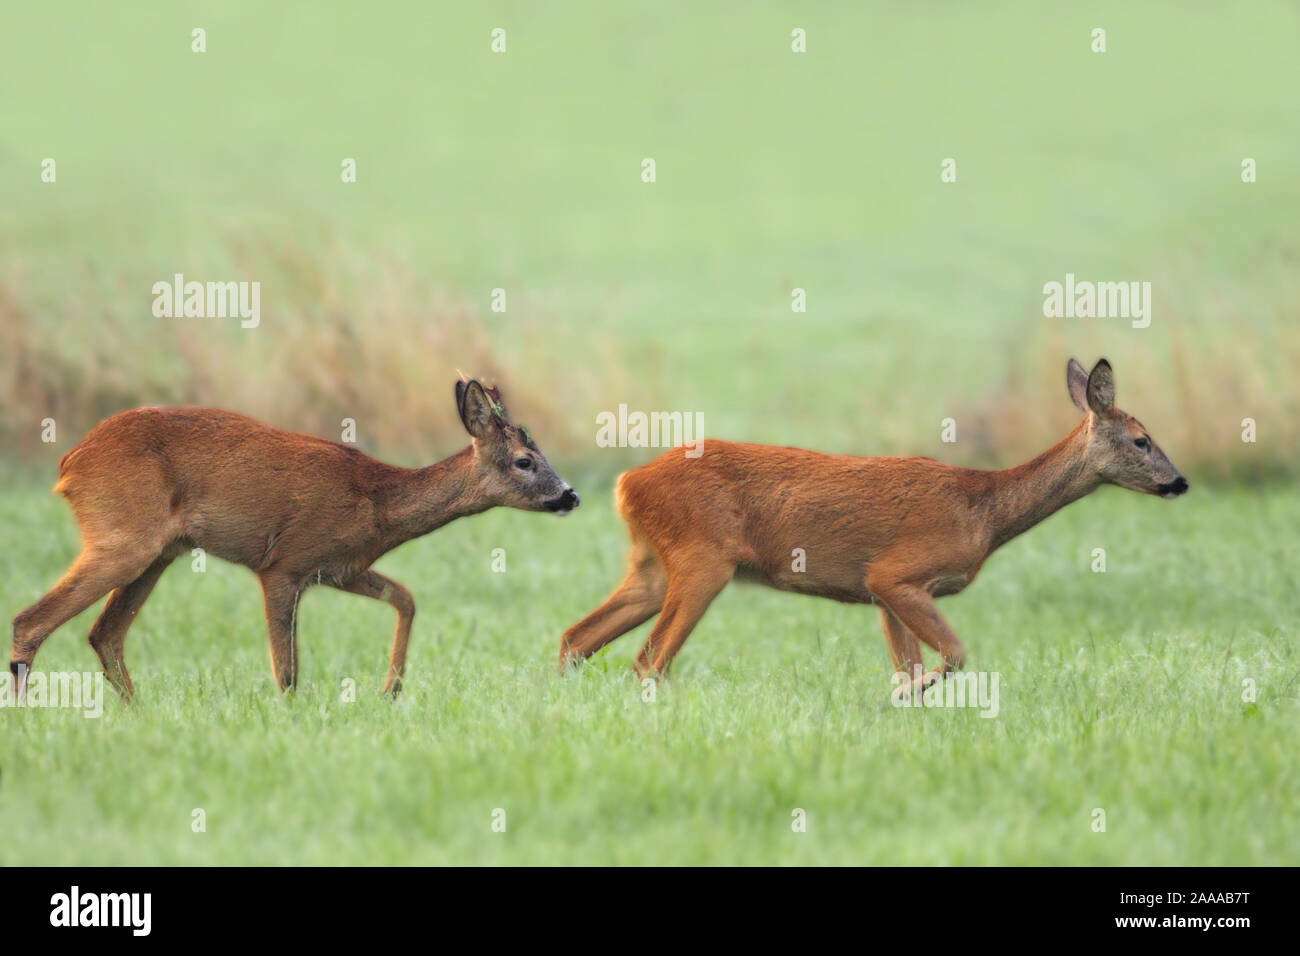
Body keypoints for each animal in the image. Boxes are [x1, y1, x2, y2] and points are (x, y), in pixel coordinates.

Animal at [10, 378, 579, 702]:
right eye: (525, 462)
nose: (570, 495)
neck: (376, 500)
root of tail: (69, 463)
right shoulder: (284, 563)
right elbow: (287, 670)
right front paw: (292, 715)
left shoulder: (339, 567)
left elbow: (406, 598)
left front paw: (390, 690)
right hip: (123, 536)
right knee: (30, 620)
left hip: (157, 552)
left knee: (104, 634)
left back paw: (139, 710)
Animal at [559, 358, 1188, 691]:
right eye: (1141, 440)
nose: (1179, 482)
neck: (983, 511)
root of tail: (627, 483)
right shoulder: (897, 573)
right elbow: (954, 655)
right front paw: (909, 696)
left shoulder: (882, 591)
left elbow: (908, 662)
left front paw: (905, 699)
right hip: (702, 558)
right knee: (649, 658)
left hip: (652, 563)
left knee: (576, 637)